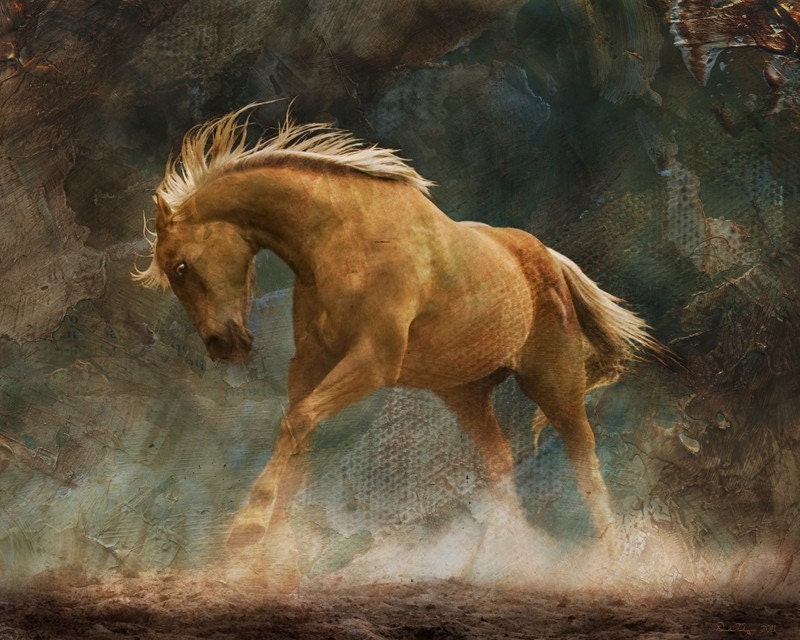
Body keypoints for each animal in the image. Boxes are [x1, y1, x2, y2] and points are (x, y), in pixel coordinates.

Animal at [133, 103, 664, 573]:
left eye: (180, 267)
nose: (224, 347)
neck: (346, 239)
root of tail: (548, 258)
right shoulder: (310, 365)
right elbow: (296, 434)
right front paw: (270, 542)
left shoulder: (372, 363)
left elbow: (297, 422)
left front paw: (247, 530)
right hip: (466, 395)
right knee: (500, 464)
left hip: (554, 384)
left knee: (585, 462)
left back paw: (607, 557)